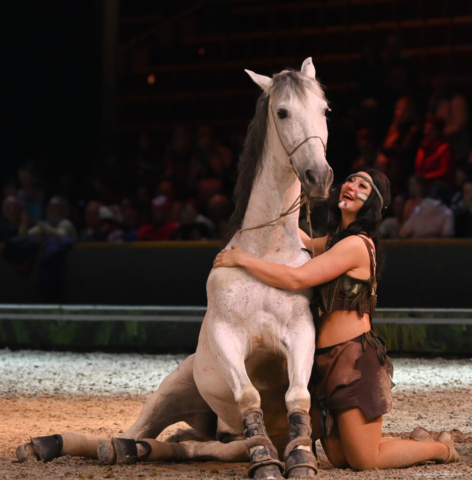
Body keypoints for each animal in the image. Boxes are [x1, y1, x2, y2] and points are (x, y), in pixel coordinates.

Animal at [15, 58, 332, 478]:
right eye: (282, 112)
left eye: (324, 110)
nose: (319, 177)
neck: (265, 254)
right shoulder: (227, 338)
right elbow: (248, 395)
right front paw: (265, 462)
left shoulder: (299, 335)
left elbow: (298, 395)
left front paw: (299, 459)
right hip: (170, 392)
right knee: (136, 432)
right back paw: (84, 446)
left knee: (200, 444)